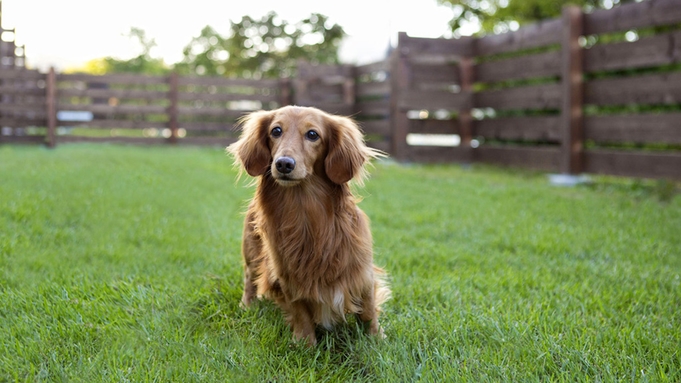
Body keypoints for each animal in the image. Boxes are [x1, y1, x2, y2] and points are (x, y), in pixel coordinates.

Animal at [227, 106, 388, 348]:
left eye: (313, 134)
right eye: (276, 131)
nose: (283, 164)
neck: (304, 210)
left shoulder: (361, 270)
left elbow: (368, 309)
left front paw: (376, 338)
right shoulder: (287, 275)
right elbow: (299, 310)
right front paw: (305, 344)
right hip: (251, 251)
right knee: (250, 279)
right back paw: (247, 306)